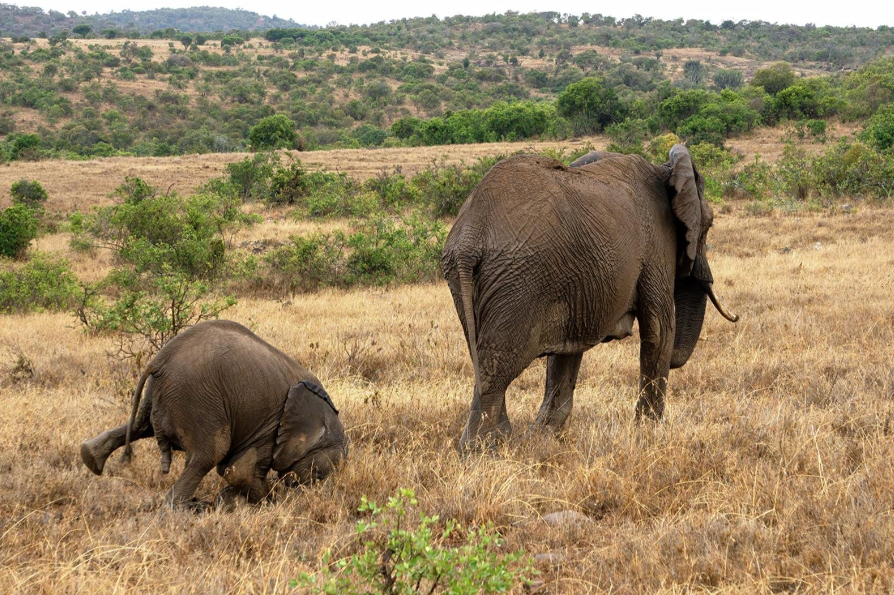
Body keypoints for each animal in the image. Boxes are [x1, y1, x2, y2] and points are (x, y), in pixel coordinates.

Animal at [81, 318, 346, 510]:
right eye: (319, 474)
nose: (305, 495)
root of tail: (159, 360)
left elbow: (233, 471)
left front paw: (230, 504)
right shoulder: (272, 424)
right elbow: (238, 471)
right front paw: (269, 504)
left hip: (160, 396)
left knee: (138, 427)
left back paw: (91, 458)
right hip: (196, 398)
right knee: (209, 453)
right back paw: (180, 511)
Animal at [442, 147, 744, 450]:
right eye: (709, 223)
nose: (738, 316)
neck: (666, 171)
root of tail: (469, 236)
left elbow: (565, 350)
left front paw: (545, 435)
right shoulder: (657, 244)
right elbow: (660, 331)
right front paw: (648, 431)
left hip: (471, 280)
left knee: (482, 359)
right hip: (517, 281)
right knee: (497, 364)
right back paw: (485, 447)